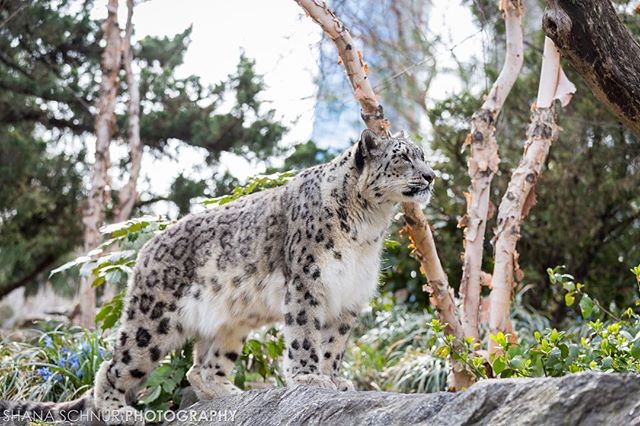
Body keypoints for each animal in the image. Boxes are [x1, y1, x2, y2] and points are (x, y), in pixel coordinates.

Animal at [1, 128, 436, 424]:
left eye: (423, 155)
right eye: (403, 158)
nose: (431, 175)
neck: (368, 226)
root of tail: (146, 247)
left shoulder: (348, 297)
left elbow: (334, 345)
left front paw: (336, 380)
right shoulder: (307, 284)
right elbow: (305, 336)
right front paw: (309, 379)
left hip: (232, 323)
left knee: (201, 366)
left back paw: (232, 392)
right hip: (151, 321)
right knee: (112, 367)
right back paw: (120, 411)